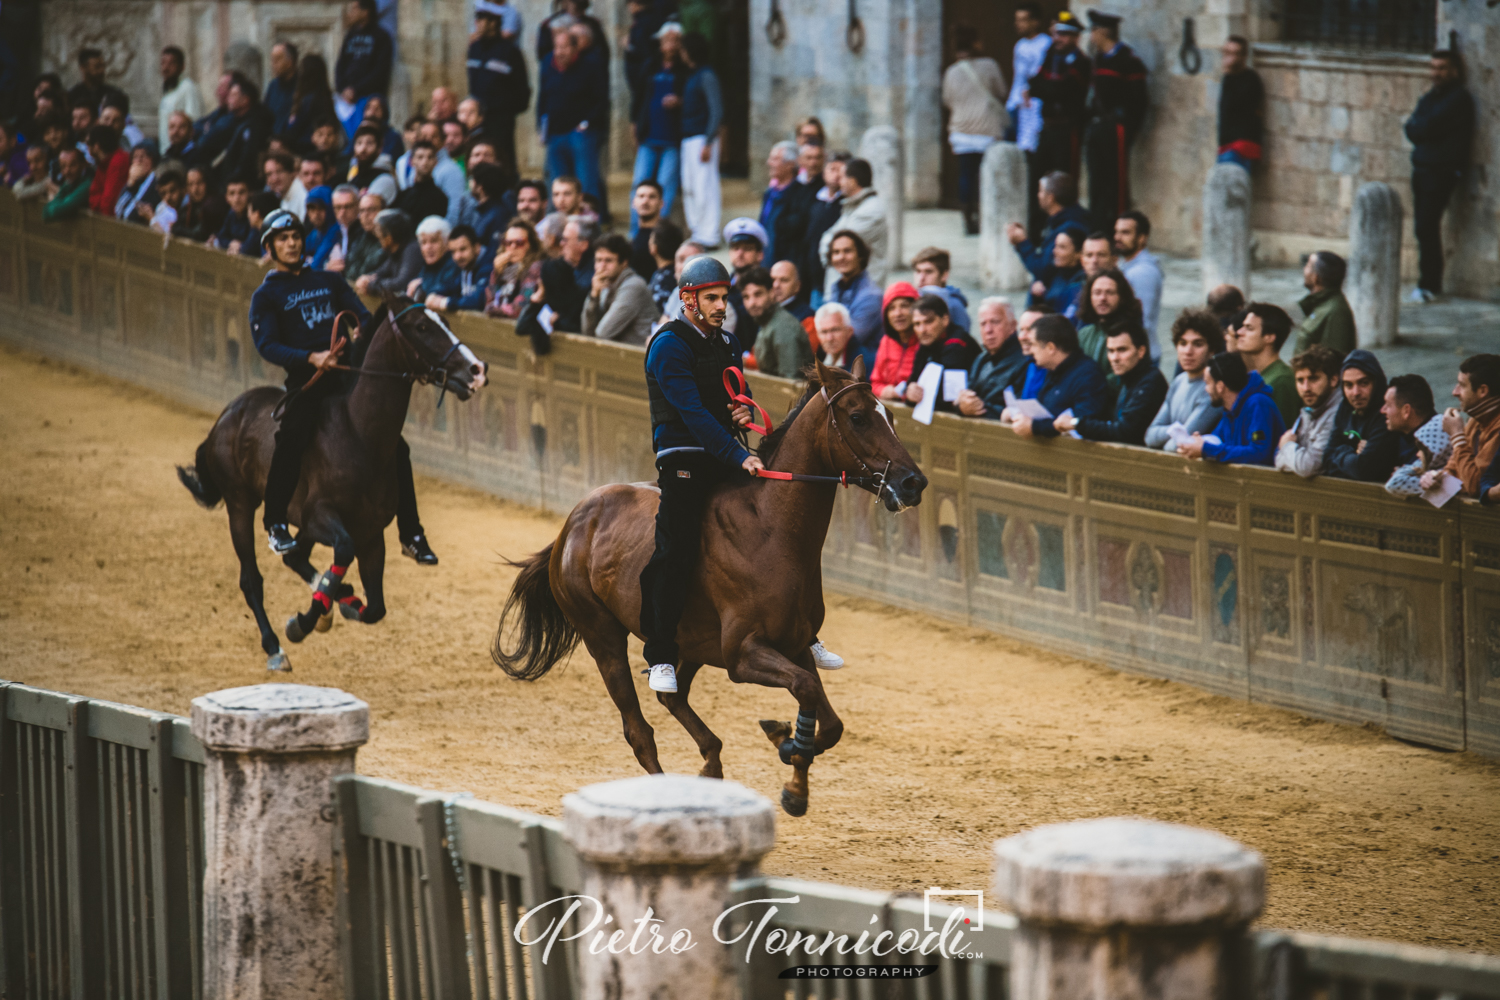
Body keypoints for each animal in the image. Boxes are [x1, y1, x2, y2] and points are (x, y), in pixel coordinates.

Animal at [177, 296, 486, 671]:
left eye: (445, 321)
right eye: (422, 327)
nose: (476, 370)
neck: (358, 434)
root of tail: (225, 416)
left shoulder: (371, 534)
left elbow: (376, 608)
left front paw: (342, 604)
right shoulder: (320, 516)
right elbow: (342, 550)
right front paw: (303, 622)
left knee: (295, 558)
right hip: (240, 505)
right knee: (252, 579)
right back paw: (275, 646)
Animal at [492, 359, 924, 815]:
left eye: (890, 415)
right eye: (858, 417)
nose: (914, 482)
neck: (769, 531)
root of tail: (571, 526)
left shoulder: (796, 644)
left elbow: (830, 722)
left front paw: (789, 756)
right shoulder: (742, 654)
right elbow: (806, 692)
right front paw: (789, 763)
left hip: (691, 645)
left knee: (673, 697)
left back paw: (712, 764)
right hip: (603, 637)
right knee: (640, 731)